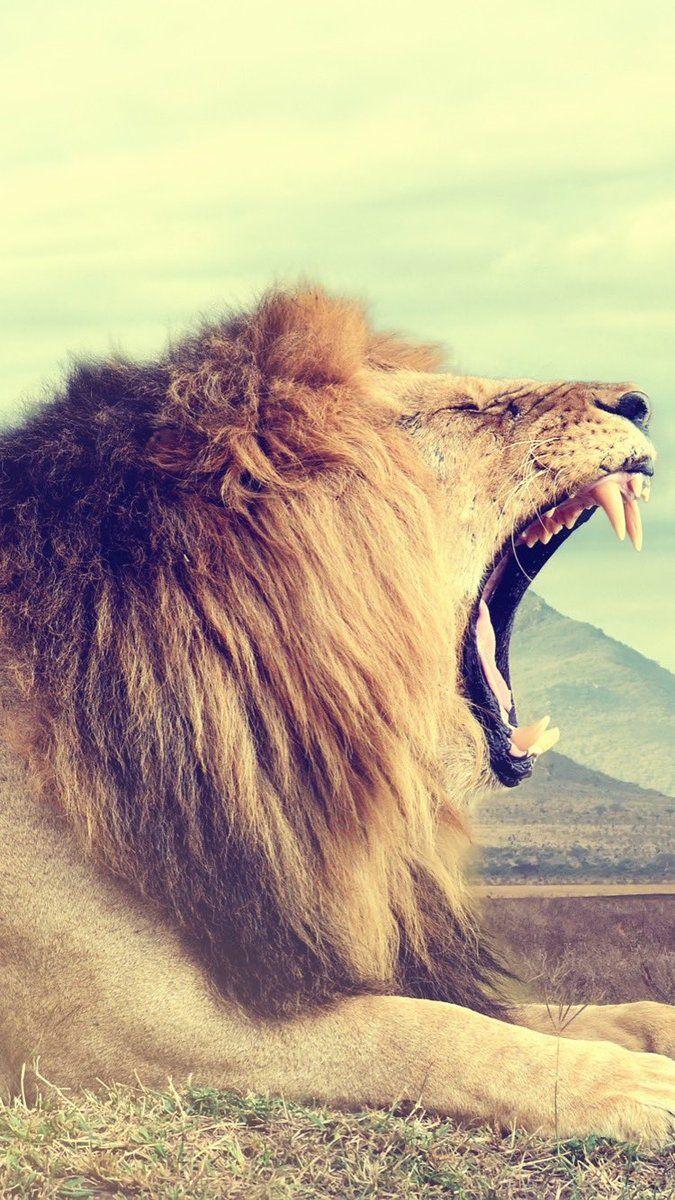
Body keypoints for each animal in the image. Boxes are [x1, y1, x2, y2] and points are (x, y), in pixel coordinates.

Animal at [0, 287, 672, 1142]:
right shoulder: (109, 1034)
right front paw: (636, 1088)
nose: (640, 402)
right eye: (469, 408)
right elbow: (426, 1032)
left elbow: (541, 1010)